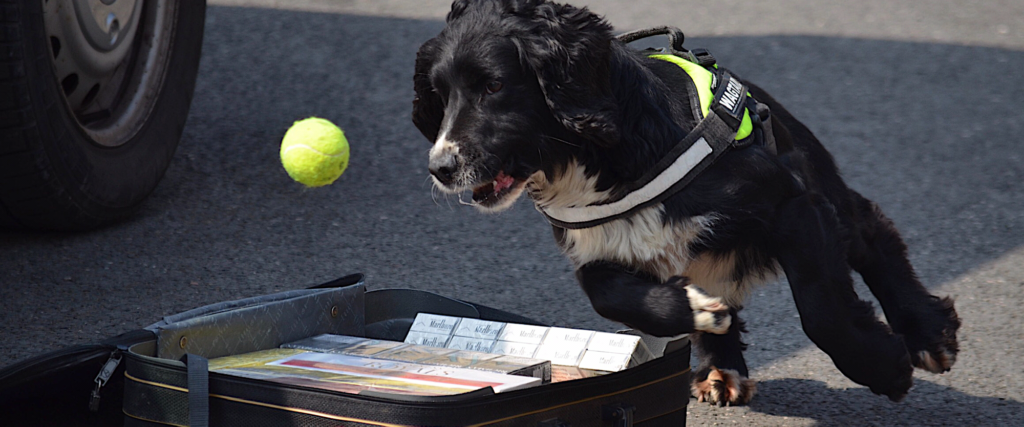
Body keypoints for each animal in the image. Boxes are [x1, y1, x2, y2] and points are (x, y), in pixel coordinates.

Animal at [411, 0, 954, 405]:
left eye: (495, 84)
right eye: (439, 94)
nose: (440, 168)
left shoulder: (790, 203)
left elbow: (822, 312)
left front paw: (884, 367)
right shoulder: (597, 249)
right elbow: (606, 293)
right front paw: (697, 311)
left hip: (817, 180)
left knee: (869, 228)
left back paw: (928, 333)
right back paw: (719, 367)